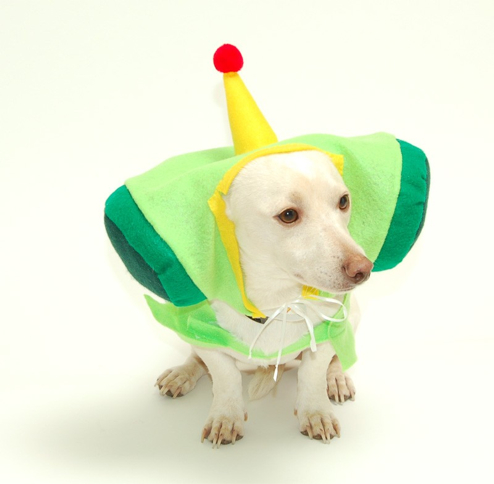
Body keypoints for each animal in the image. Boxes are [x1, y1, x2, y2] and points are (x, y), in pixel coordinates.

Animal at [155, 149, 373, 447]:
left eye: (343, 201)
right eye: (288, 215)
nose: (364, 269)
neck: (276, 302)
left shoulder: (327, 332)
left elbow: (312, 373)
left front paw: (315, 412)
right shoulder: (206, 334)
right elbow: (225, 376)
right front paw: (226, 415)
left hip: (353, 316)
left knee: (339, 354)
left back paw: (336, 378)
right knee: (197, 355)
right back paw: (183, 373)